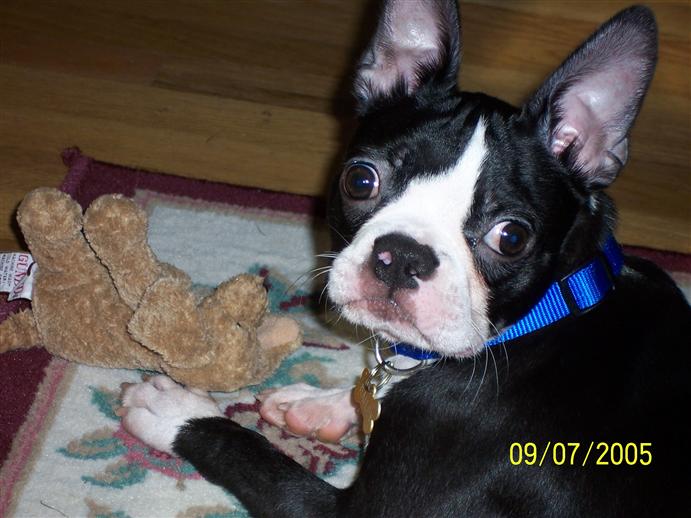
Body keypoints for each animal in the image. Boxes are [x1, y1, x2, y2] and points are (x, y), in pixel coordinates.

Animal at [120, 1, 691, 515]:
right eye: (360, 179)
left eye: (511, 238)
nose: (402, 256)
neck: (555, 307)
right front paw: (319, 402)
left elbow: (260, 461)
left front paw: (178, 412)